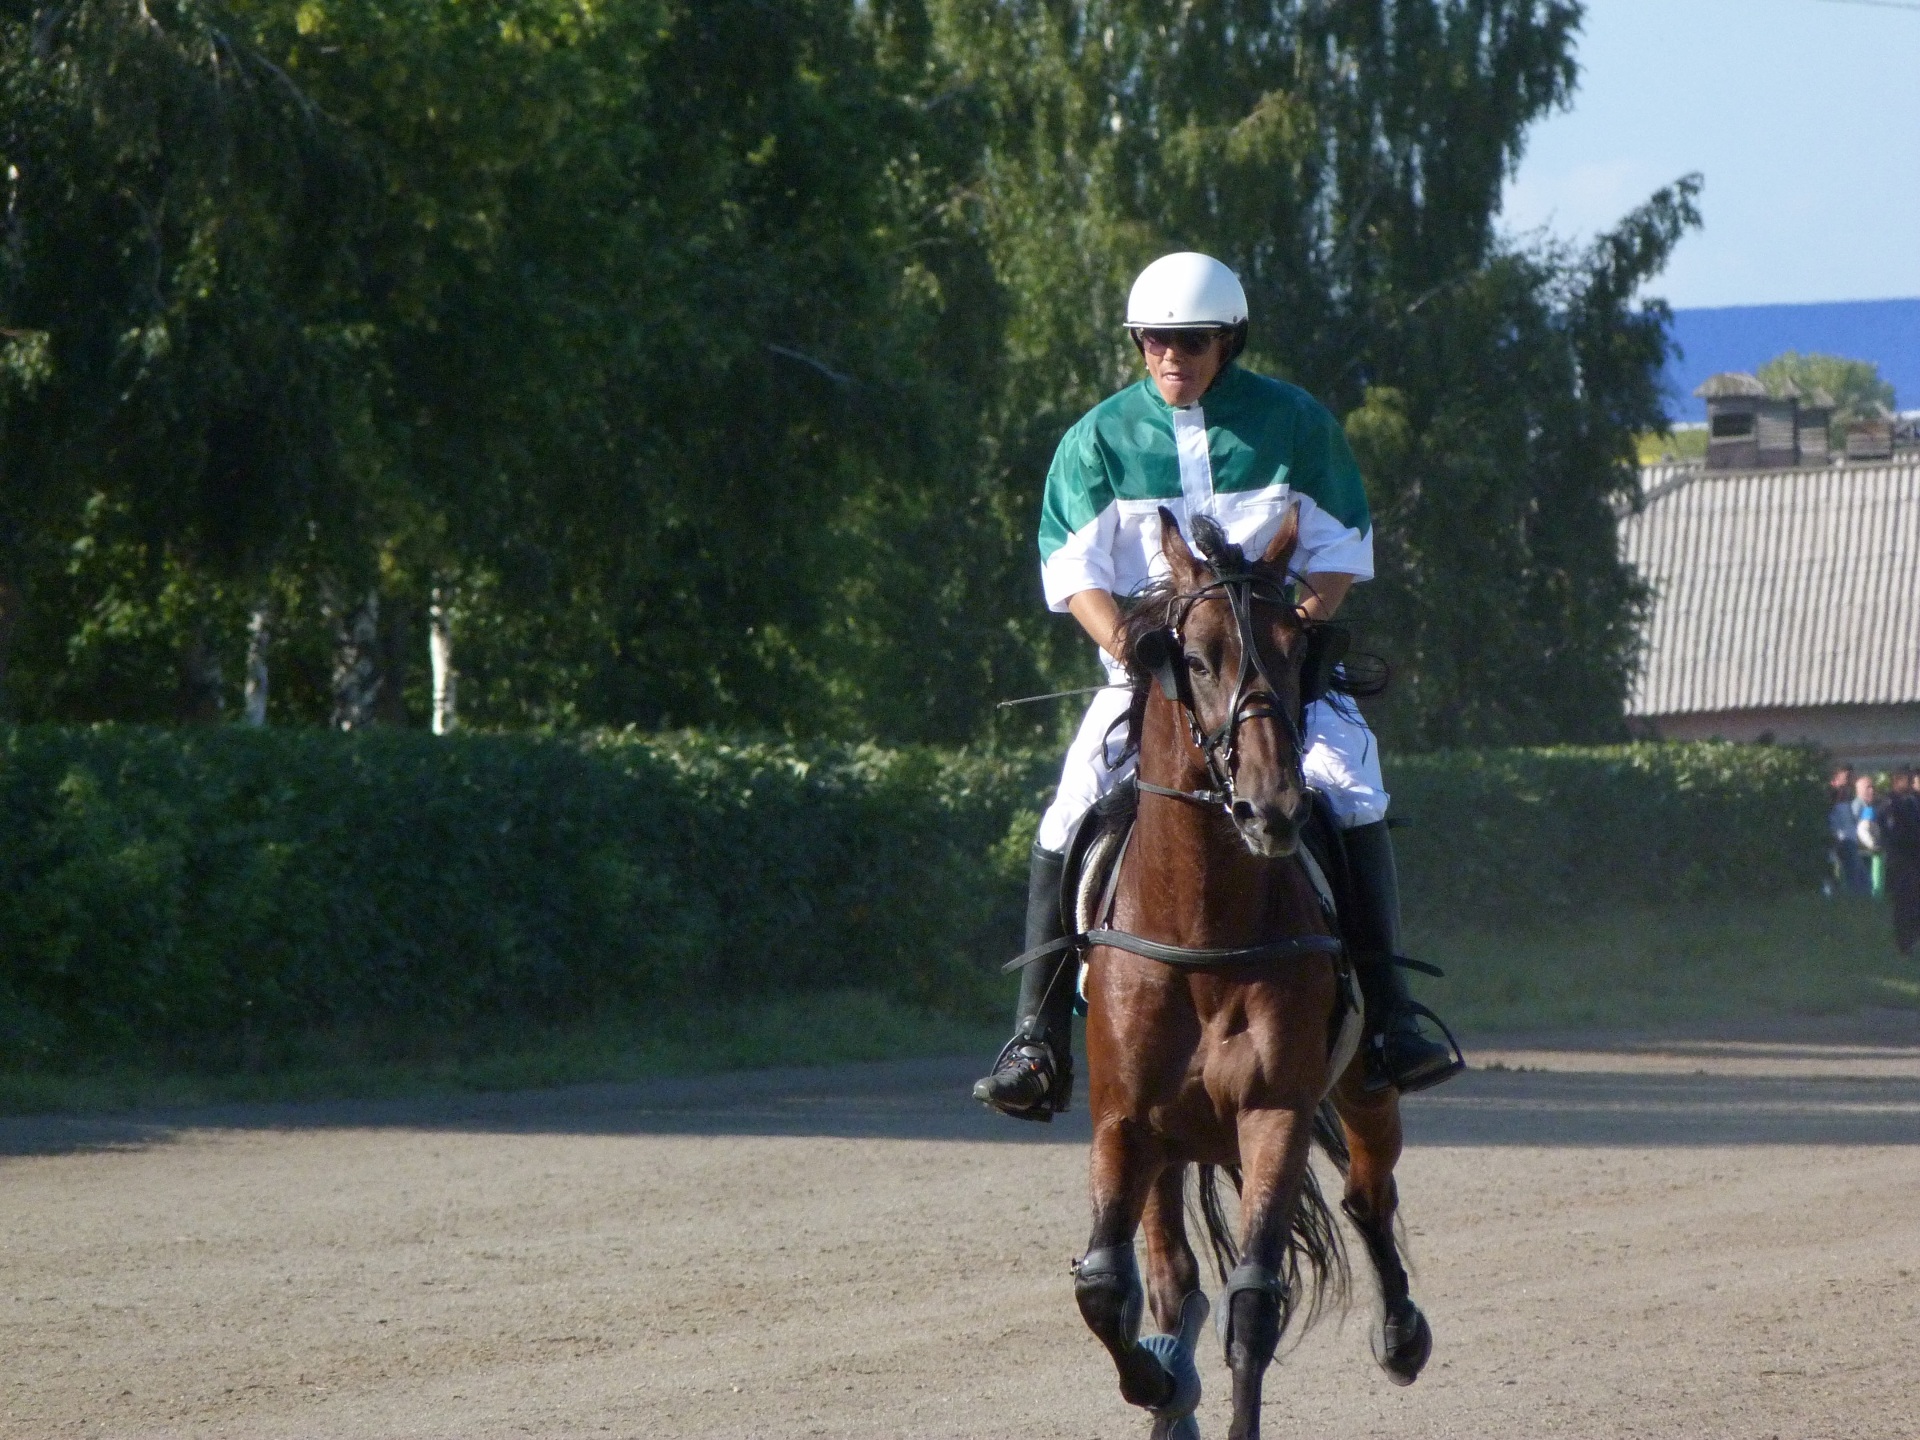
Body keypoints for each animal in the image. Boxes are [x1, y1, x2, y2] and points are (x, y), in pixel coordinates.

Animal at [1068, 505, 1432, 1440]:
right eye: (1195, 656)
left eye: (1297, 647)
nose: (1273, 807)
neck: (1204, 930)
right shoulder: (1123, 1121)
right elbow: (1104, 1289)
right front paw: (1162, 1383)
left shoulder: (1275, 1111)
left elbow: (1256, 1301)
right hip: (1165, 1147)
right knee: (1166, 1275)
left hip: (1361, 1087)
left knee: (1368, 1195)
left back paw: (1402, 1334)